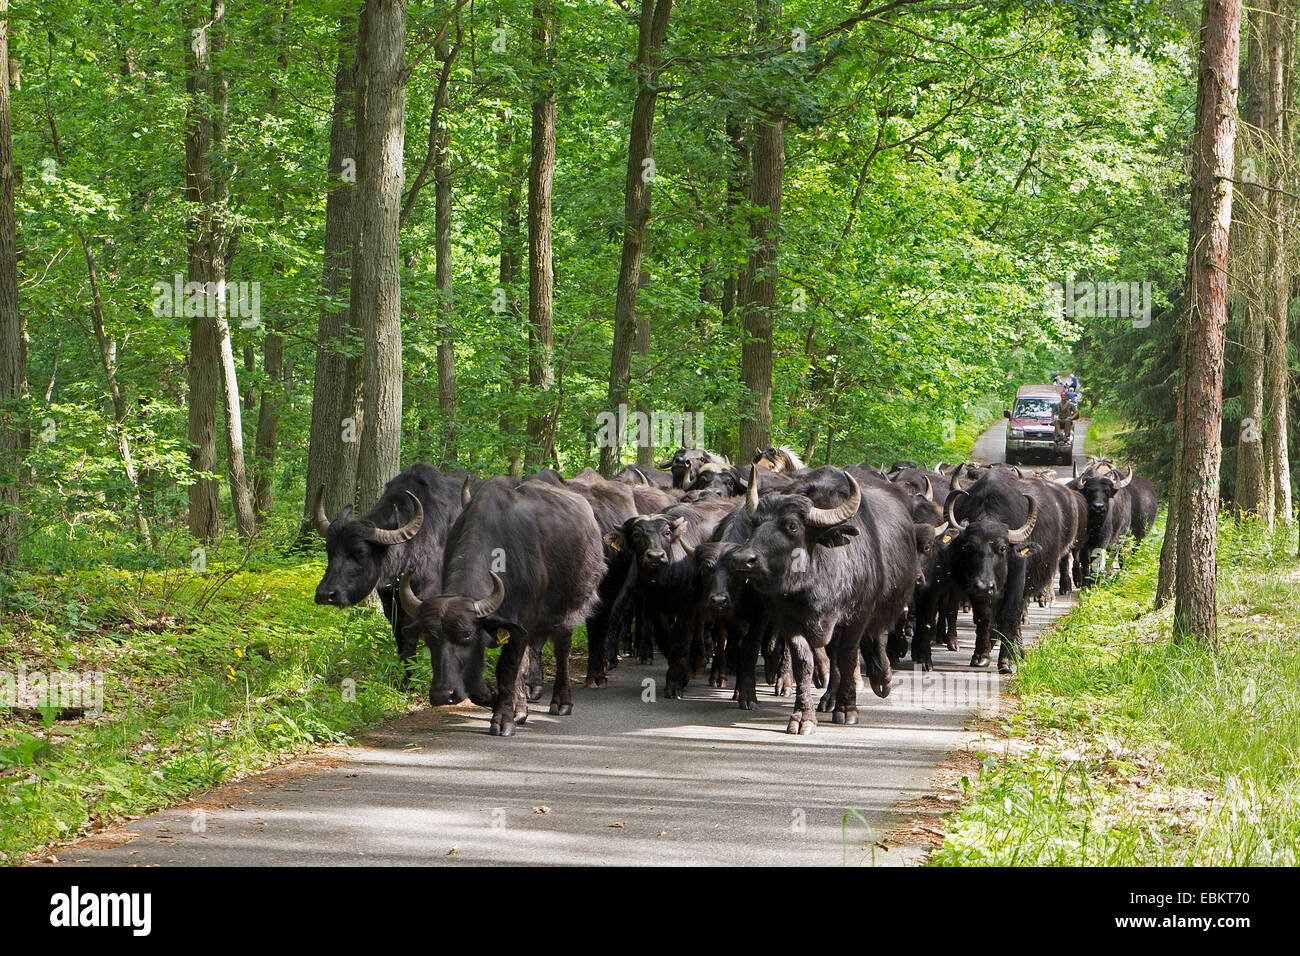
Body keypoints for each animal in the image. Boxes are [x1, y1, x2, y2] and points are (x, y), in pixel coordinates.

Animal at [312, 463, 475, 686]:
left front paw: (409, 678)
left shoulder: (426, 592)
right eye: (329, 550)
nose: (324, 594)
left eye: (360, 552)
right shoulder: (389, 598)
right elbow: (398, 629)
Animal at [395, 478, 603, 738]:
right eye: (430, 638)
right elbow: (480, 680)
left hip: (569, 609)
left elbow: (507, 670)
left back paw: (561, 701)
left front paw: (503, 719)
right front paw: (497, 700)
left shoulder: (520, 625)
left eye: (466, 634)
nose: (443, 694)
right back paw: (521, 709)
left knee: (562, 649)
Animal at [733, 468, 915, 738]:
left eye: (792, 526)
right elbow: (804, 663)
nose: (743, 559)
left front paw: (847, 709)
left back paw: (882, 679)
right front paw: (802, 716)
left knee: (875, 637)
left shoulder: (858, 615)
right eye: (756, 523)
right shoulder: (789, 618)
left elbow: (848, 656)